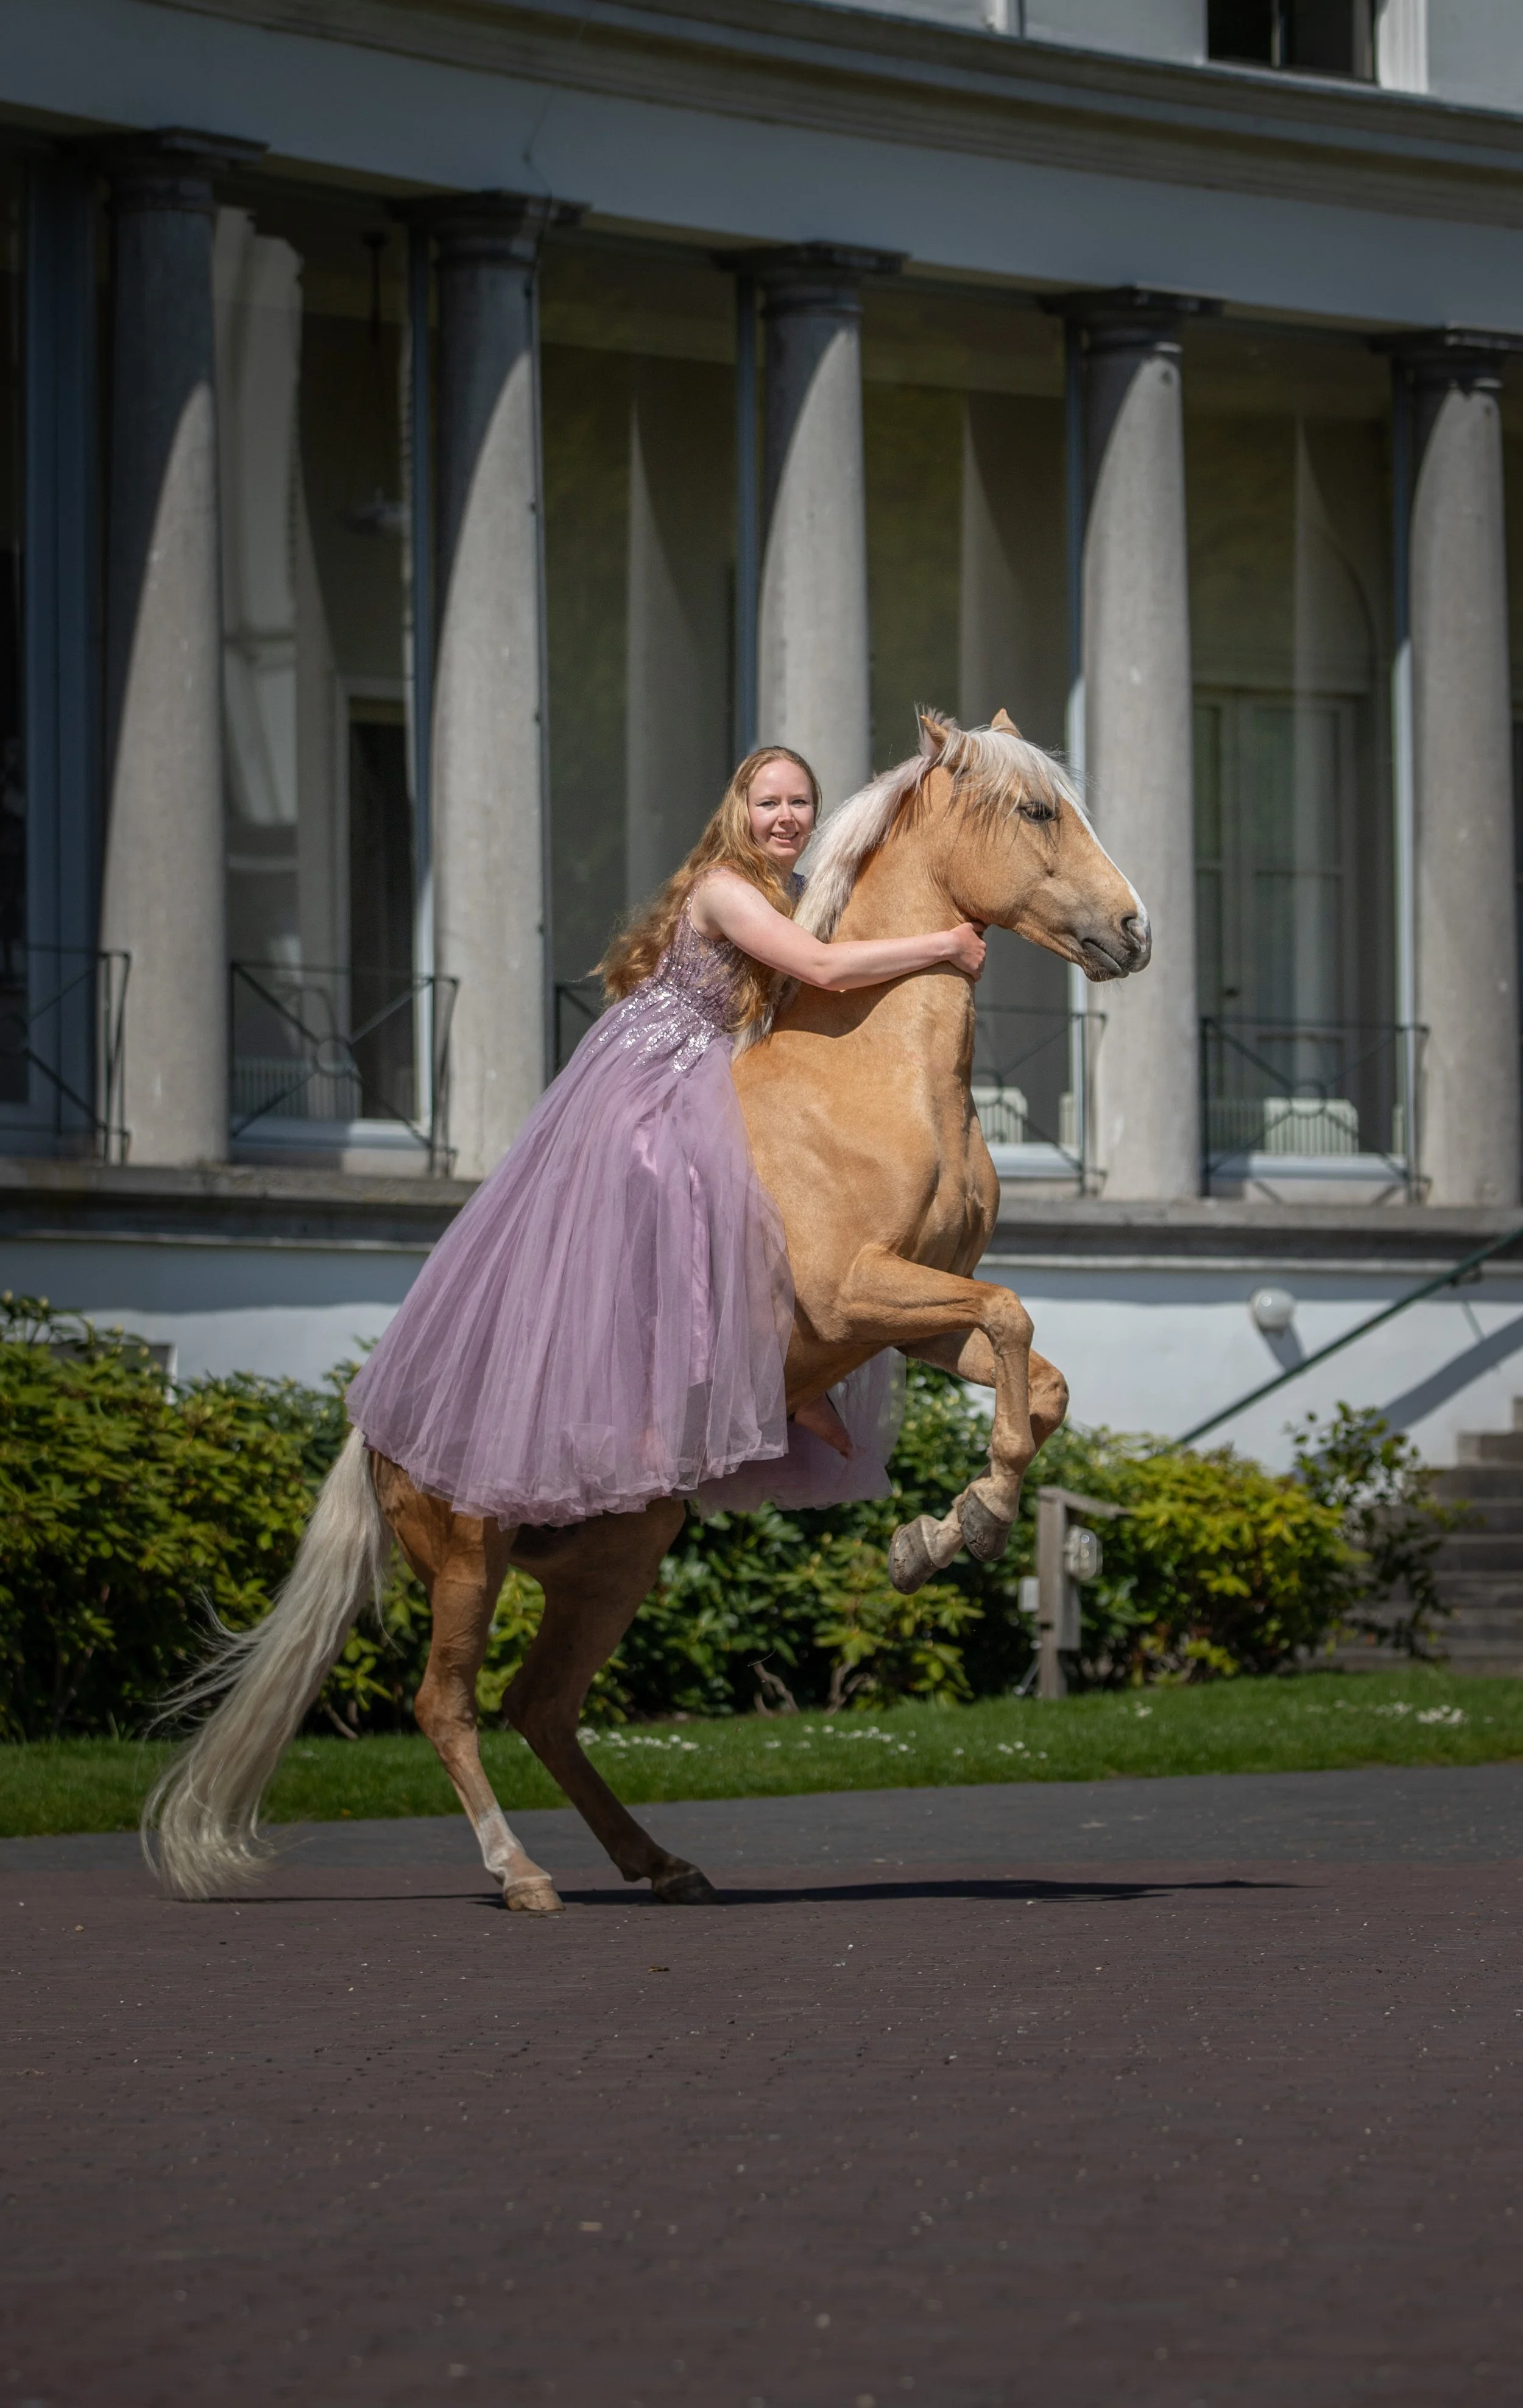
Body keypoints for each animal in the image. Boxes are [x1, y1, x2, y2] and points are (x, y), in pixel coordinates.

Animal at [144, 710, 1148, 1914]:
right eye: (1038, 809)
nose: (1136, 930)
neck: (869, 1074)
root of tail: (375, 1424)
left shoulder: (907, 1314)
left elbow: (1033, 1375)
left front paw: (942, 1532)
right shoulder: (856, 1290)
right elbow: (1013, 1319)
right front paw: (962, 1527)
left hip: (618, 1552)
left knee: (540, 1706)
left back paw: (661, 1863)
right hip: (473, 1560)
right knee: (448, 1707)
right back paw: (523, 1874)